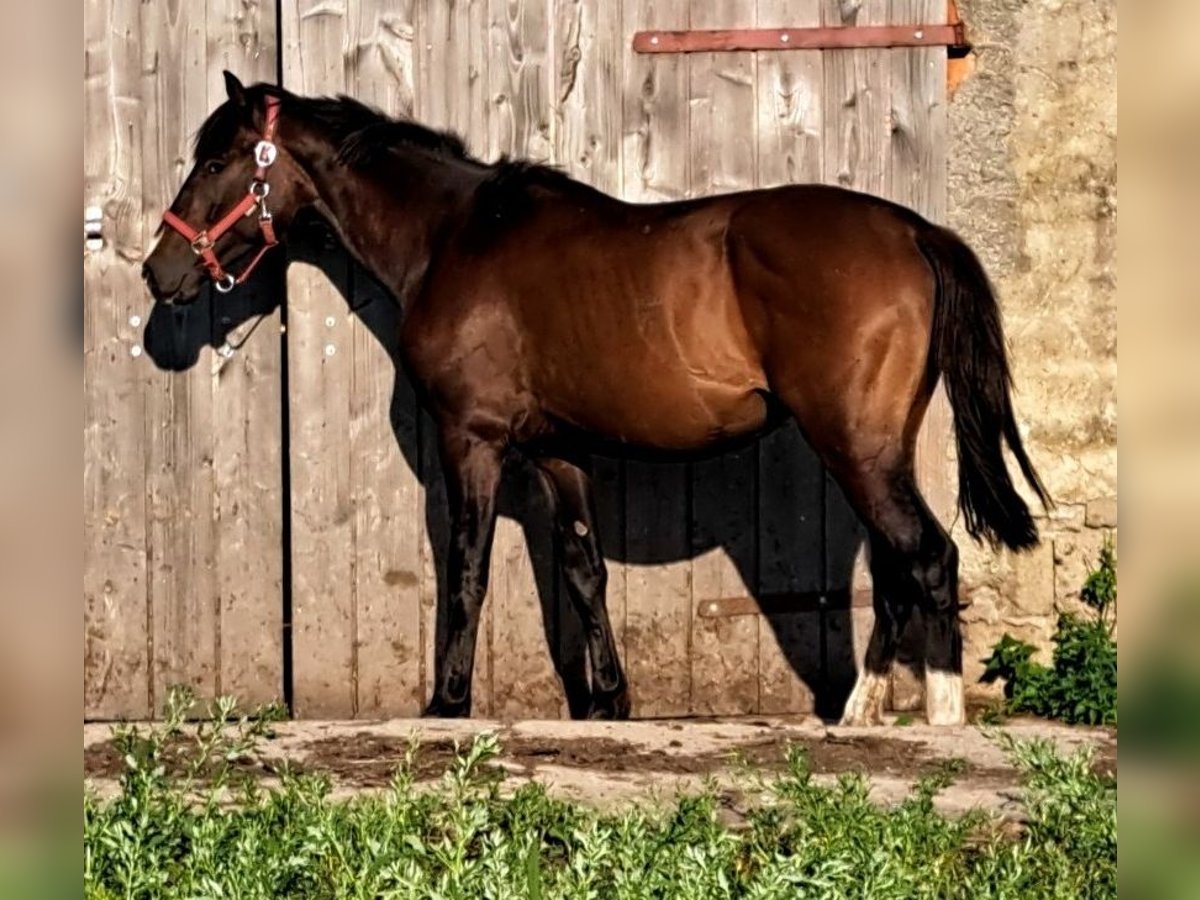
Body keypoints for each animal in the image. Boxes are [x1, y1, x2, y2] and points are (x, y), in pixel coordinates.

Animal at [142, 74, 1051, 729]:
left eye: (215, 161)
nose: (160, 271)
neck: (454, 237)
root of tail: (913, 231)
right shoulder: (558, 449)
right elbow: (584, 572)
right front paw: (610, 700)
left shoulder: (473, 440)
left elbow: (467, 569)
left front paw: (447, 702)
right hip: (868, 449)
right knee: (897, 567)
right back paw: (859, 714)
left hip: (854, 444)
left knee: (927, 557)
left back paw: (939, 719)